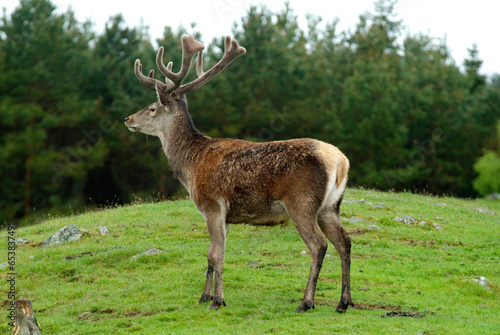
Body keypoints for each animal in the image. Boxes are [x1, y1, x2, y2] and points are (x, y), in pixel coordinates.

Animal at [123, 35, 354, 314]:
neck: (190, 165)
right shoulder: (227, 216)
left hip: (302, 203)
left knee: (319, 245)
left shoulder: (212, 205)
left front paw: (218, 300)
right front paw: (204, 297)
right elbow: (211, 253)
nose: (127, 118)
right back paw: (344, 301)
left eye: (152, 108)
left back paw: (306, 301)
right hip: (330, 206)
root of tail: (340, 161)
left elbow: (217, 254)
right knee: (345, 241)